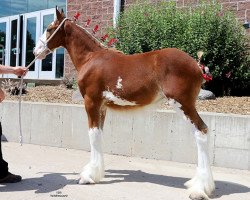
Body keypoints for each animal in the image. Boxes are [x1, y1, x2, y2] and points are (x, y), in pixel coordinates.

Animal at [33, 8, 215, 200]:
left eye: (49, 28)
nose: (35, 51)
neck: (90, 58)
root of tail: (197, 65)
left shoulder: (91, 102)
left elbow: (92, 135)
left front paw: (88, 176)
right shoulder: (102, 106)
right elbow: (99, 134)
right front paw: (96, 172)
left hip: (183, 104)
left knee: (201, 131)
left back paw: (199, 188)